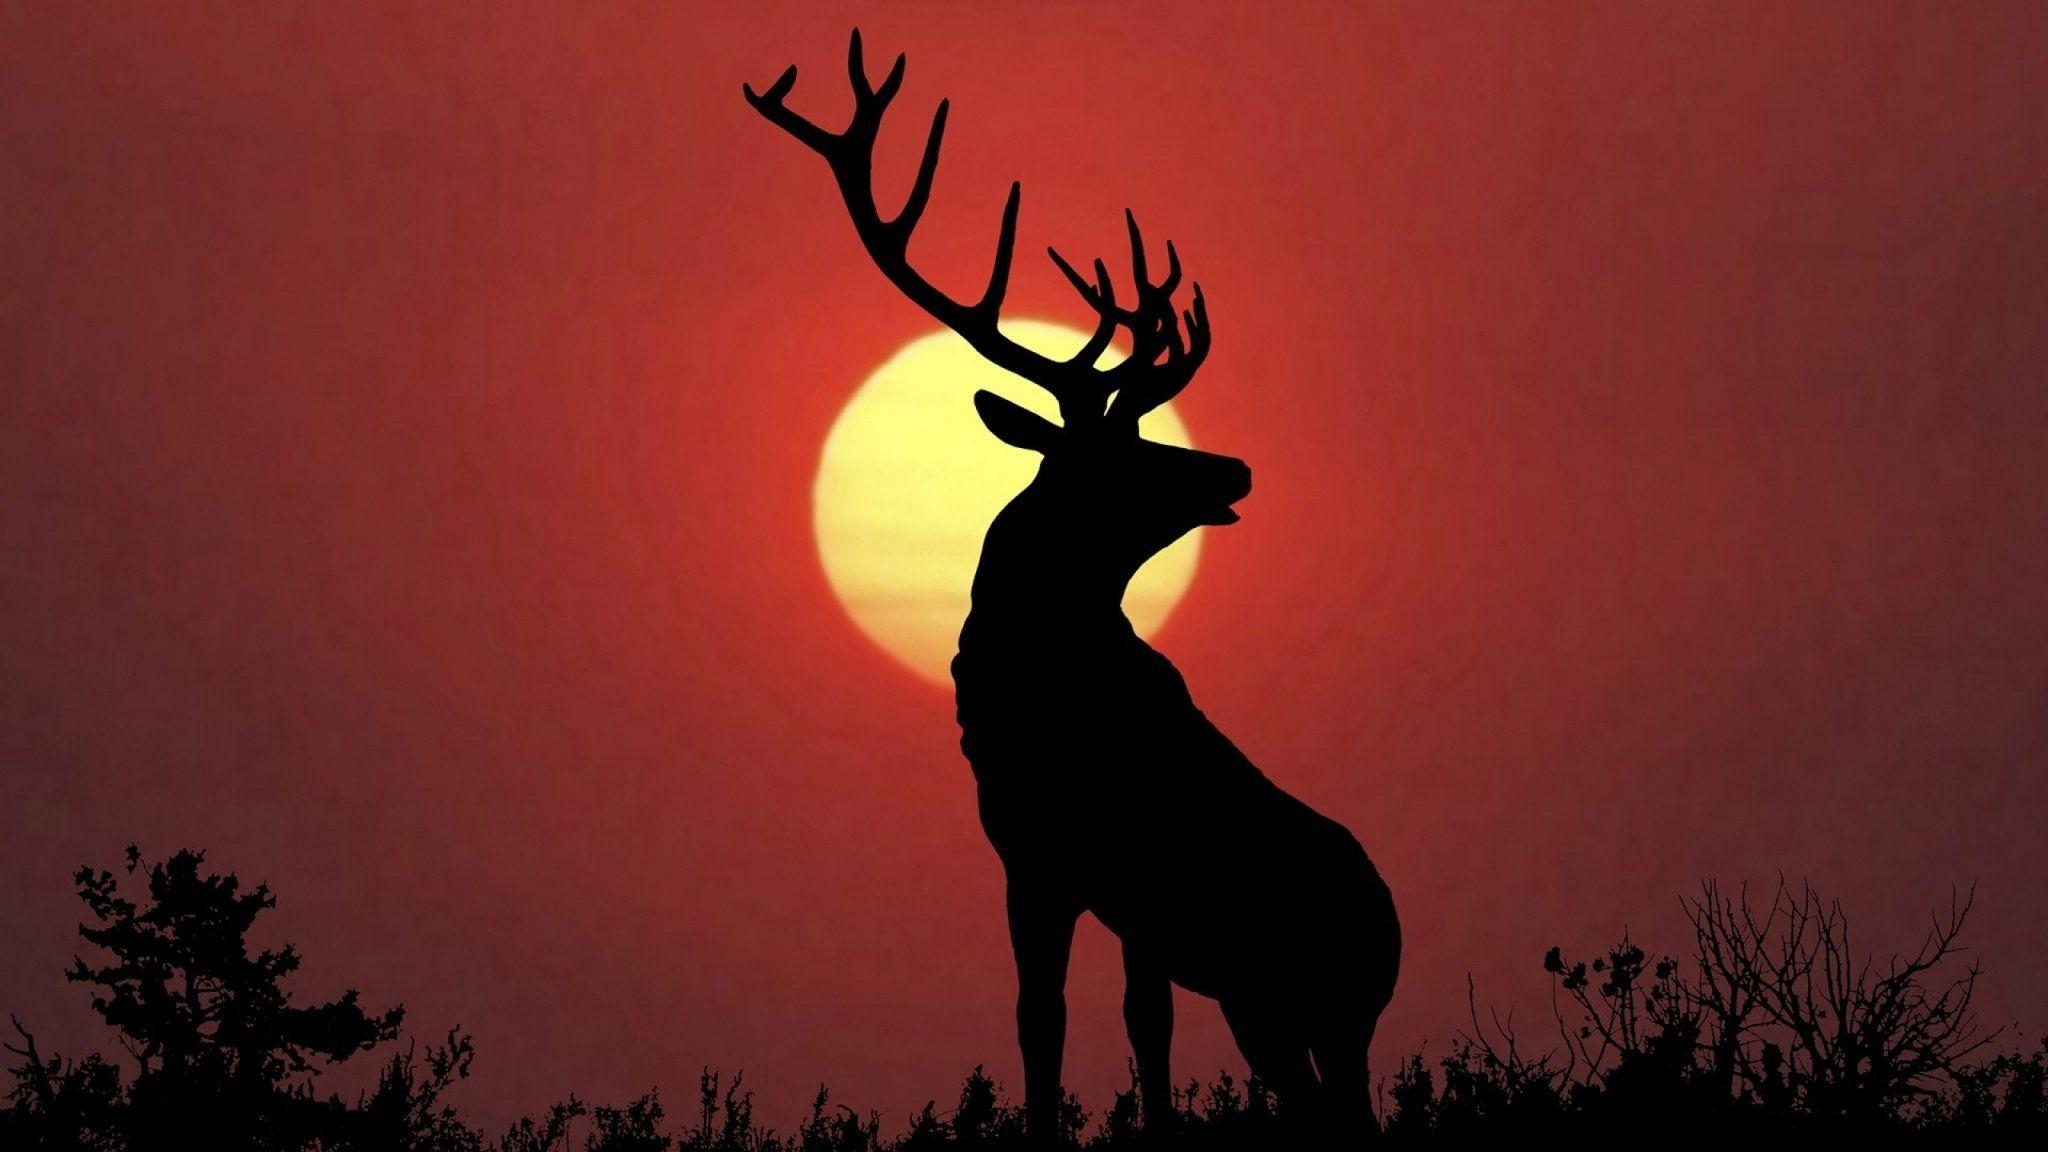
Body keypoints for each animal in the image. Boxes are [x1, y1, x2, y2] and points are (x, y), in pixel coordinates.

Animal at [747, 32, 1401, 1143]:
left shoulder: (1081, 855)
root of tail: (1390, 932)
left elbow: (1090, 1020)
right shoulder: (1069, 870)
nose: (1233, 468)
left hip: (1296, 1001)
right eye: (1115, 453)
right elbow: (1093, 1020)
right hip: (1289, 1010)